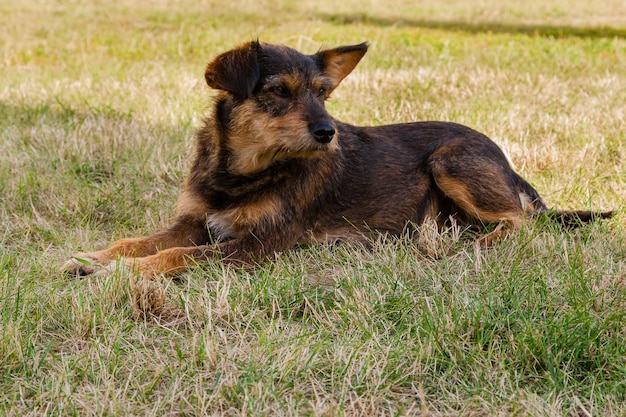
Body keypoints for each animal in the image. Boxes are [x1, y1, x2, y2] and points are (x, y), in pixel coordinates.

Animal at [62, 40, 608, 278]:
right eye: (278, 92)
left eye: (324, 93)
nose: (328, 133)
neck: (242, 172)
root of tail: (507, 161)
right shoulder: (194, 221)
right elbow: (138, 240)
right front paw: (95, 257)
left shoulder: (257, 246)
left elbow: (174, 256)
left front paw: (118, 273)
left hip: (450, 160)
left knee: (522, 221)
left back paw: (469, 246)